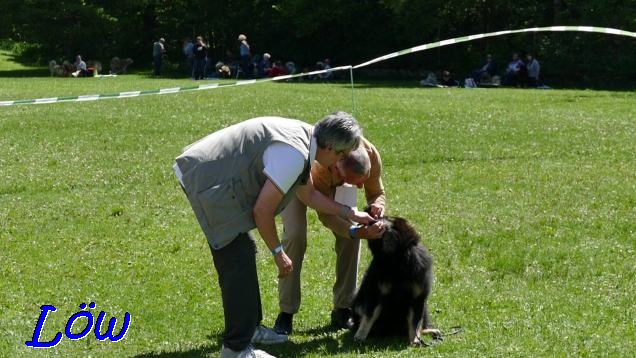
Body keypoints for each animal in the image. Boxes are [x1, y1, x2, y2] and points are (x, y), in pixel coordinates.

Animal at [350, 215, 440, 344]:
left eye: (385, 218)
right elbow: (369, 317)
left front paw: (415, 340)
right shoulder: (376, 294)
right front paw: (360, 336)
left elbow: (415, 323)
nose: (370, 216)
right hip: (359, 304)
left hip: (424, 308)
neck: (397, 259)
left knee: (421, 325)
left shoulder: (418, 298)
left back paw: (431, 332)